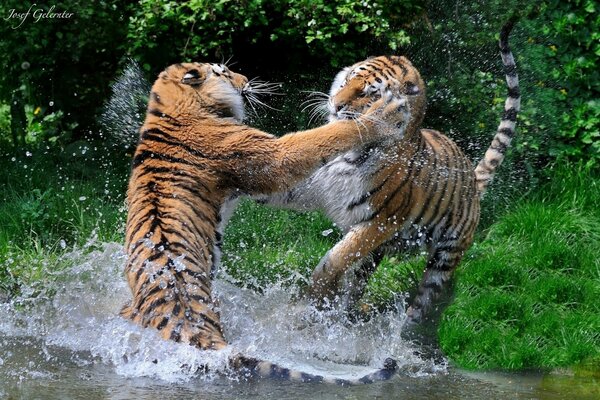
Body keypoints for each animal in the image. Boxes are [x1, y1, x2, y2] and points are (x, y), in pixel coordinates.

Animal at [119, 61, 406, 382]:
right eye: (224, 72)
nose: (245, 79)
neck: (166, 108)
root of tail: (188, 327)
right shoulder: (270, 156)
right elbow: (325, 136)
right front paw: (384, 113)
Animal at [262, 19, 520, 324]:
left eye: (369, 93)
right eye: (347, 80)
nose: (335, 104)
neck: (350, 155)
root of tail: (472, 181)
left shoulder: (380, 221)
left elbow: (337, 257)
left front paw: (315, 294)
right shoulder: (313, 186)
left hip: (445, 255)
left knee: (425, 298)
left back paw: (406, 327)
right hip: (378, 256)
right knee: (359, 283)